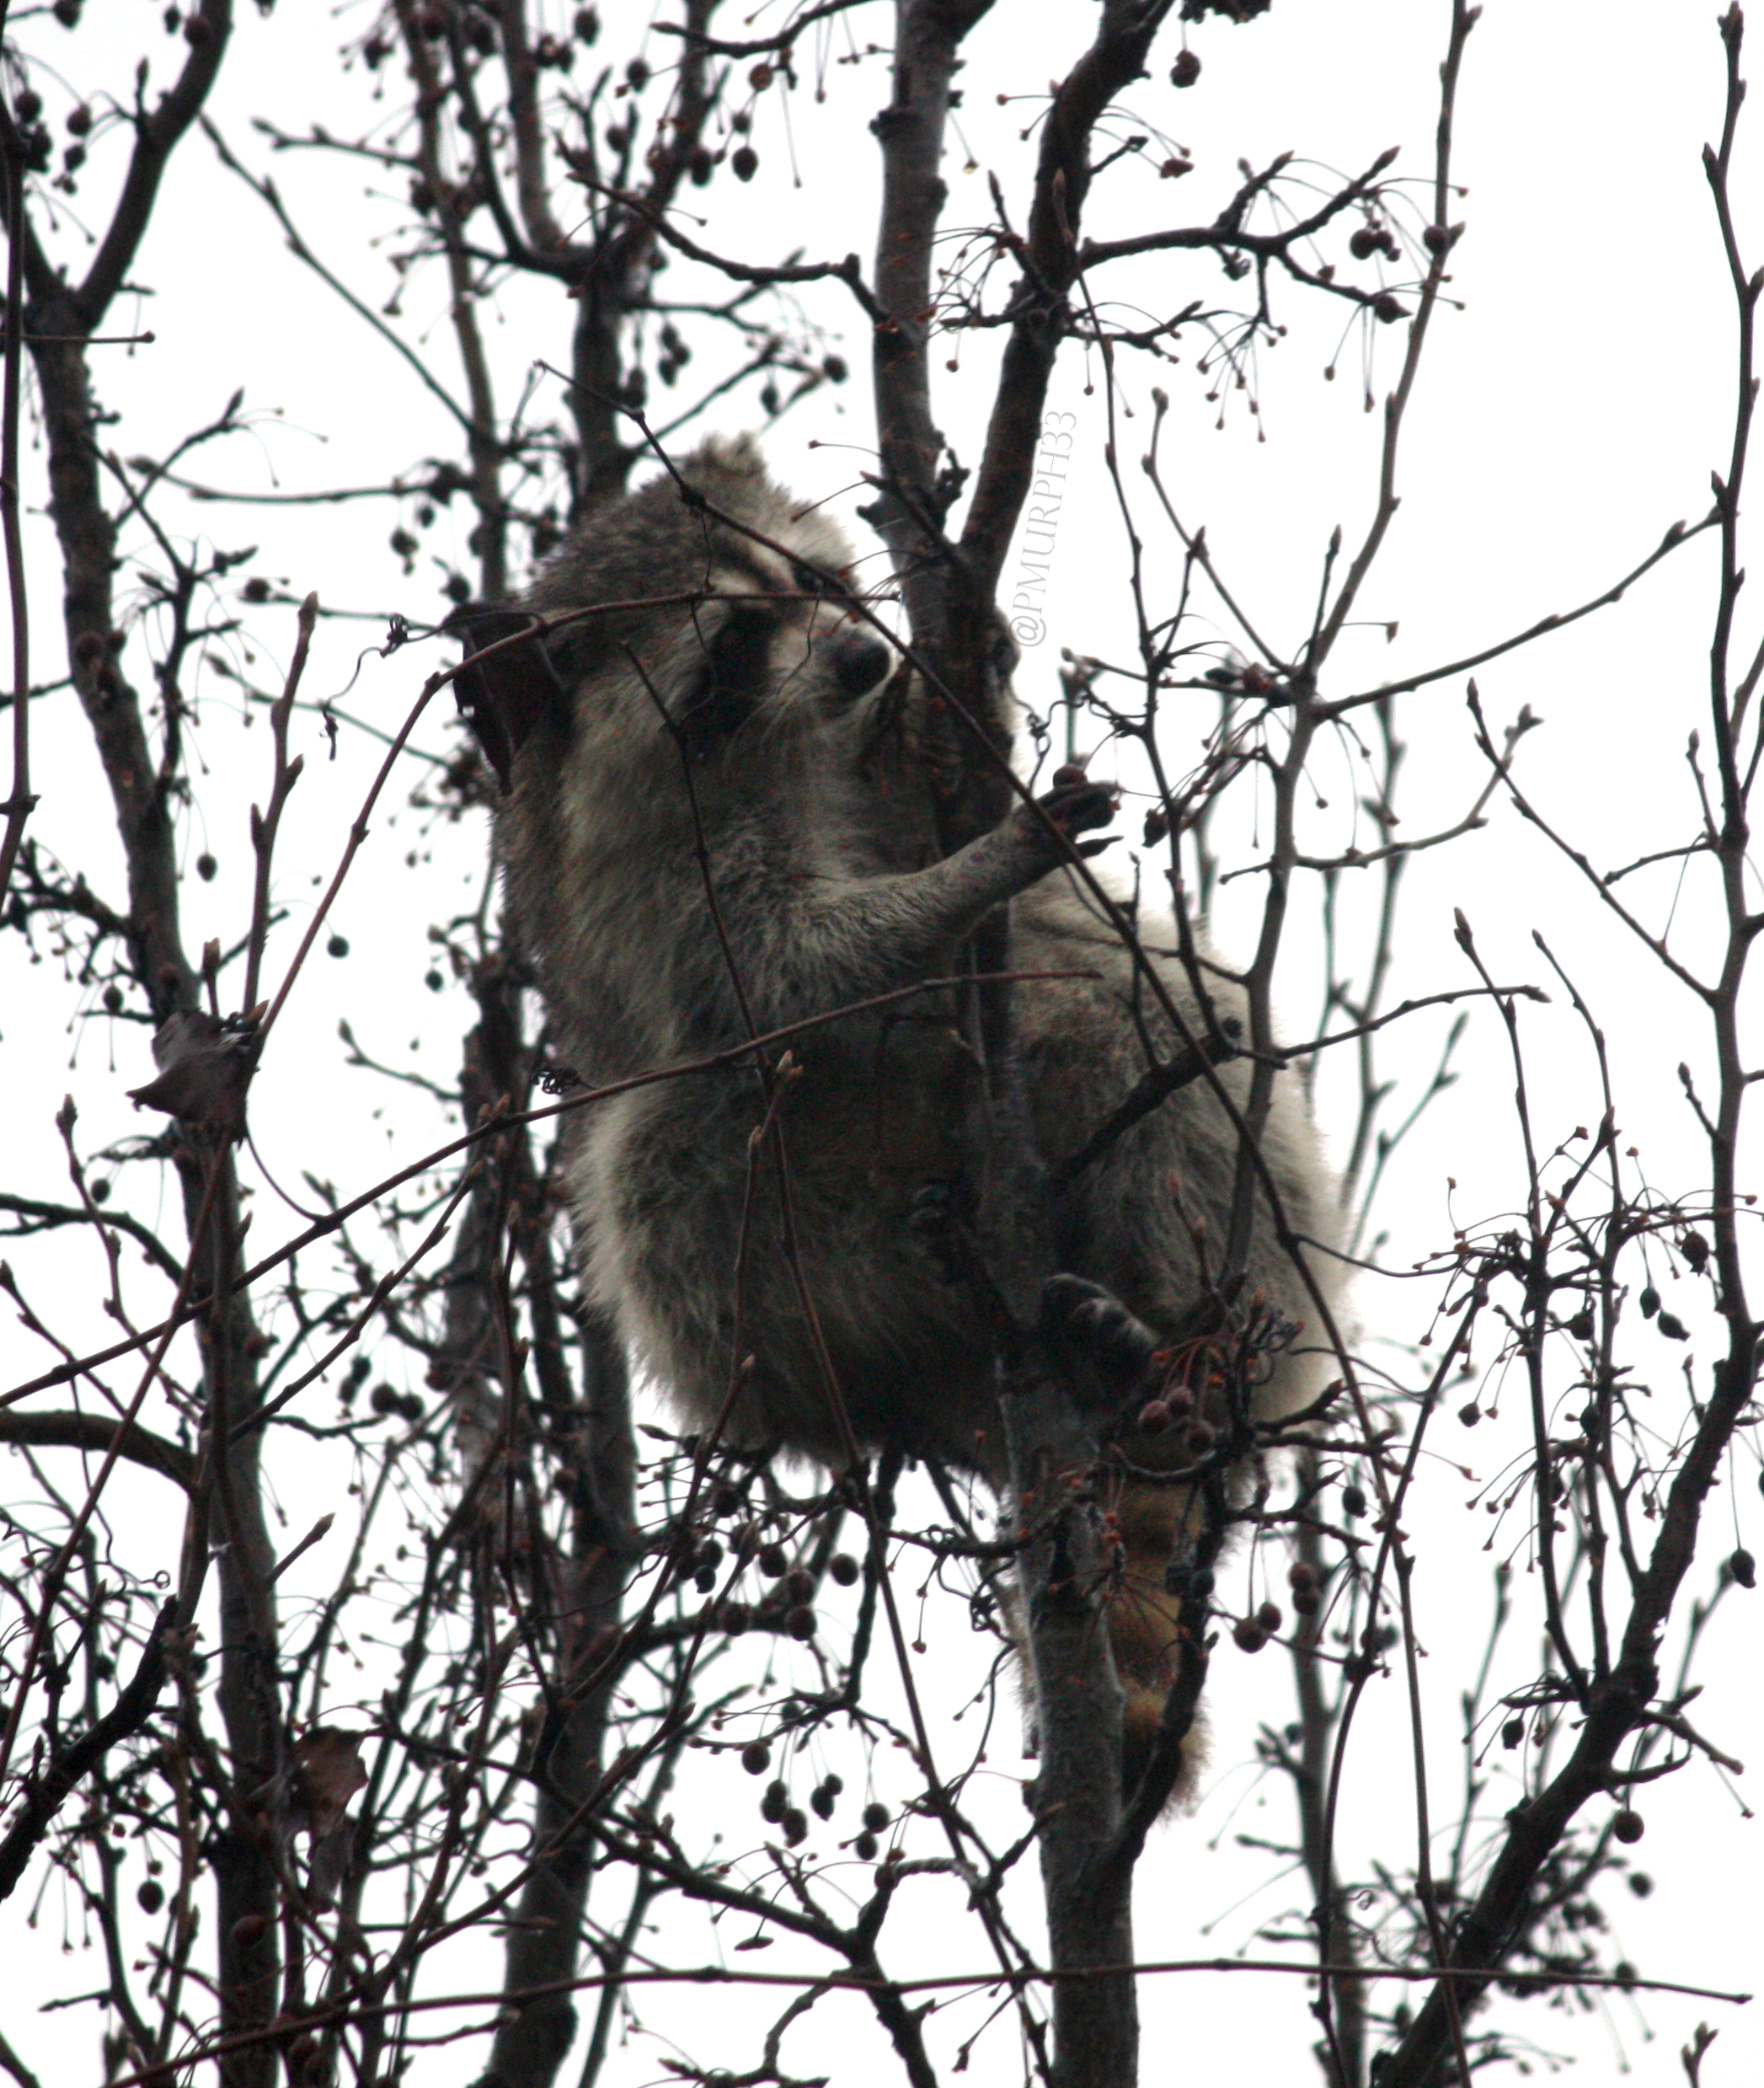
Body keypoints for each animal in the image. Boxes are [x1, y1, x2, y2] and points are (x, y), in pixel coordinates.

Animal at [451, 436, 1335, 1796]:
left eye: (814, 580)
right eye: (734, 638)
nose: (863, 658)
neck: (778, 748)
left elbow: (942, 812)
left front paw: (954, 691)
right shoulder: (652, 893)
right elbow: (789, 975)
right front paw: (963, 875)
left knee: (1142, 1009)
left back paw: (1176, 1340)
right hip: (761, 1291)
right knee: (659, 1171)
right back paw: (917, 1315)